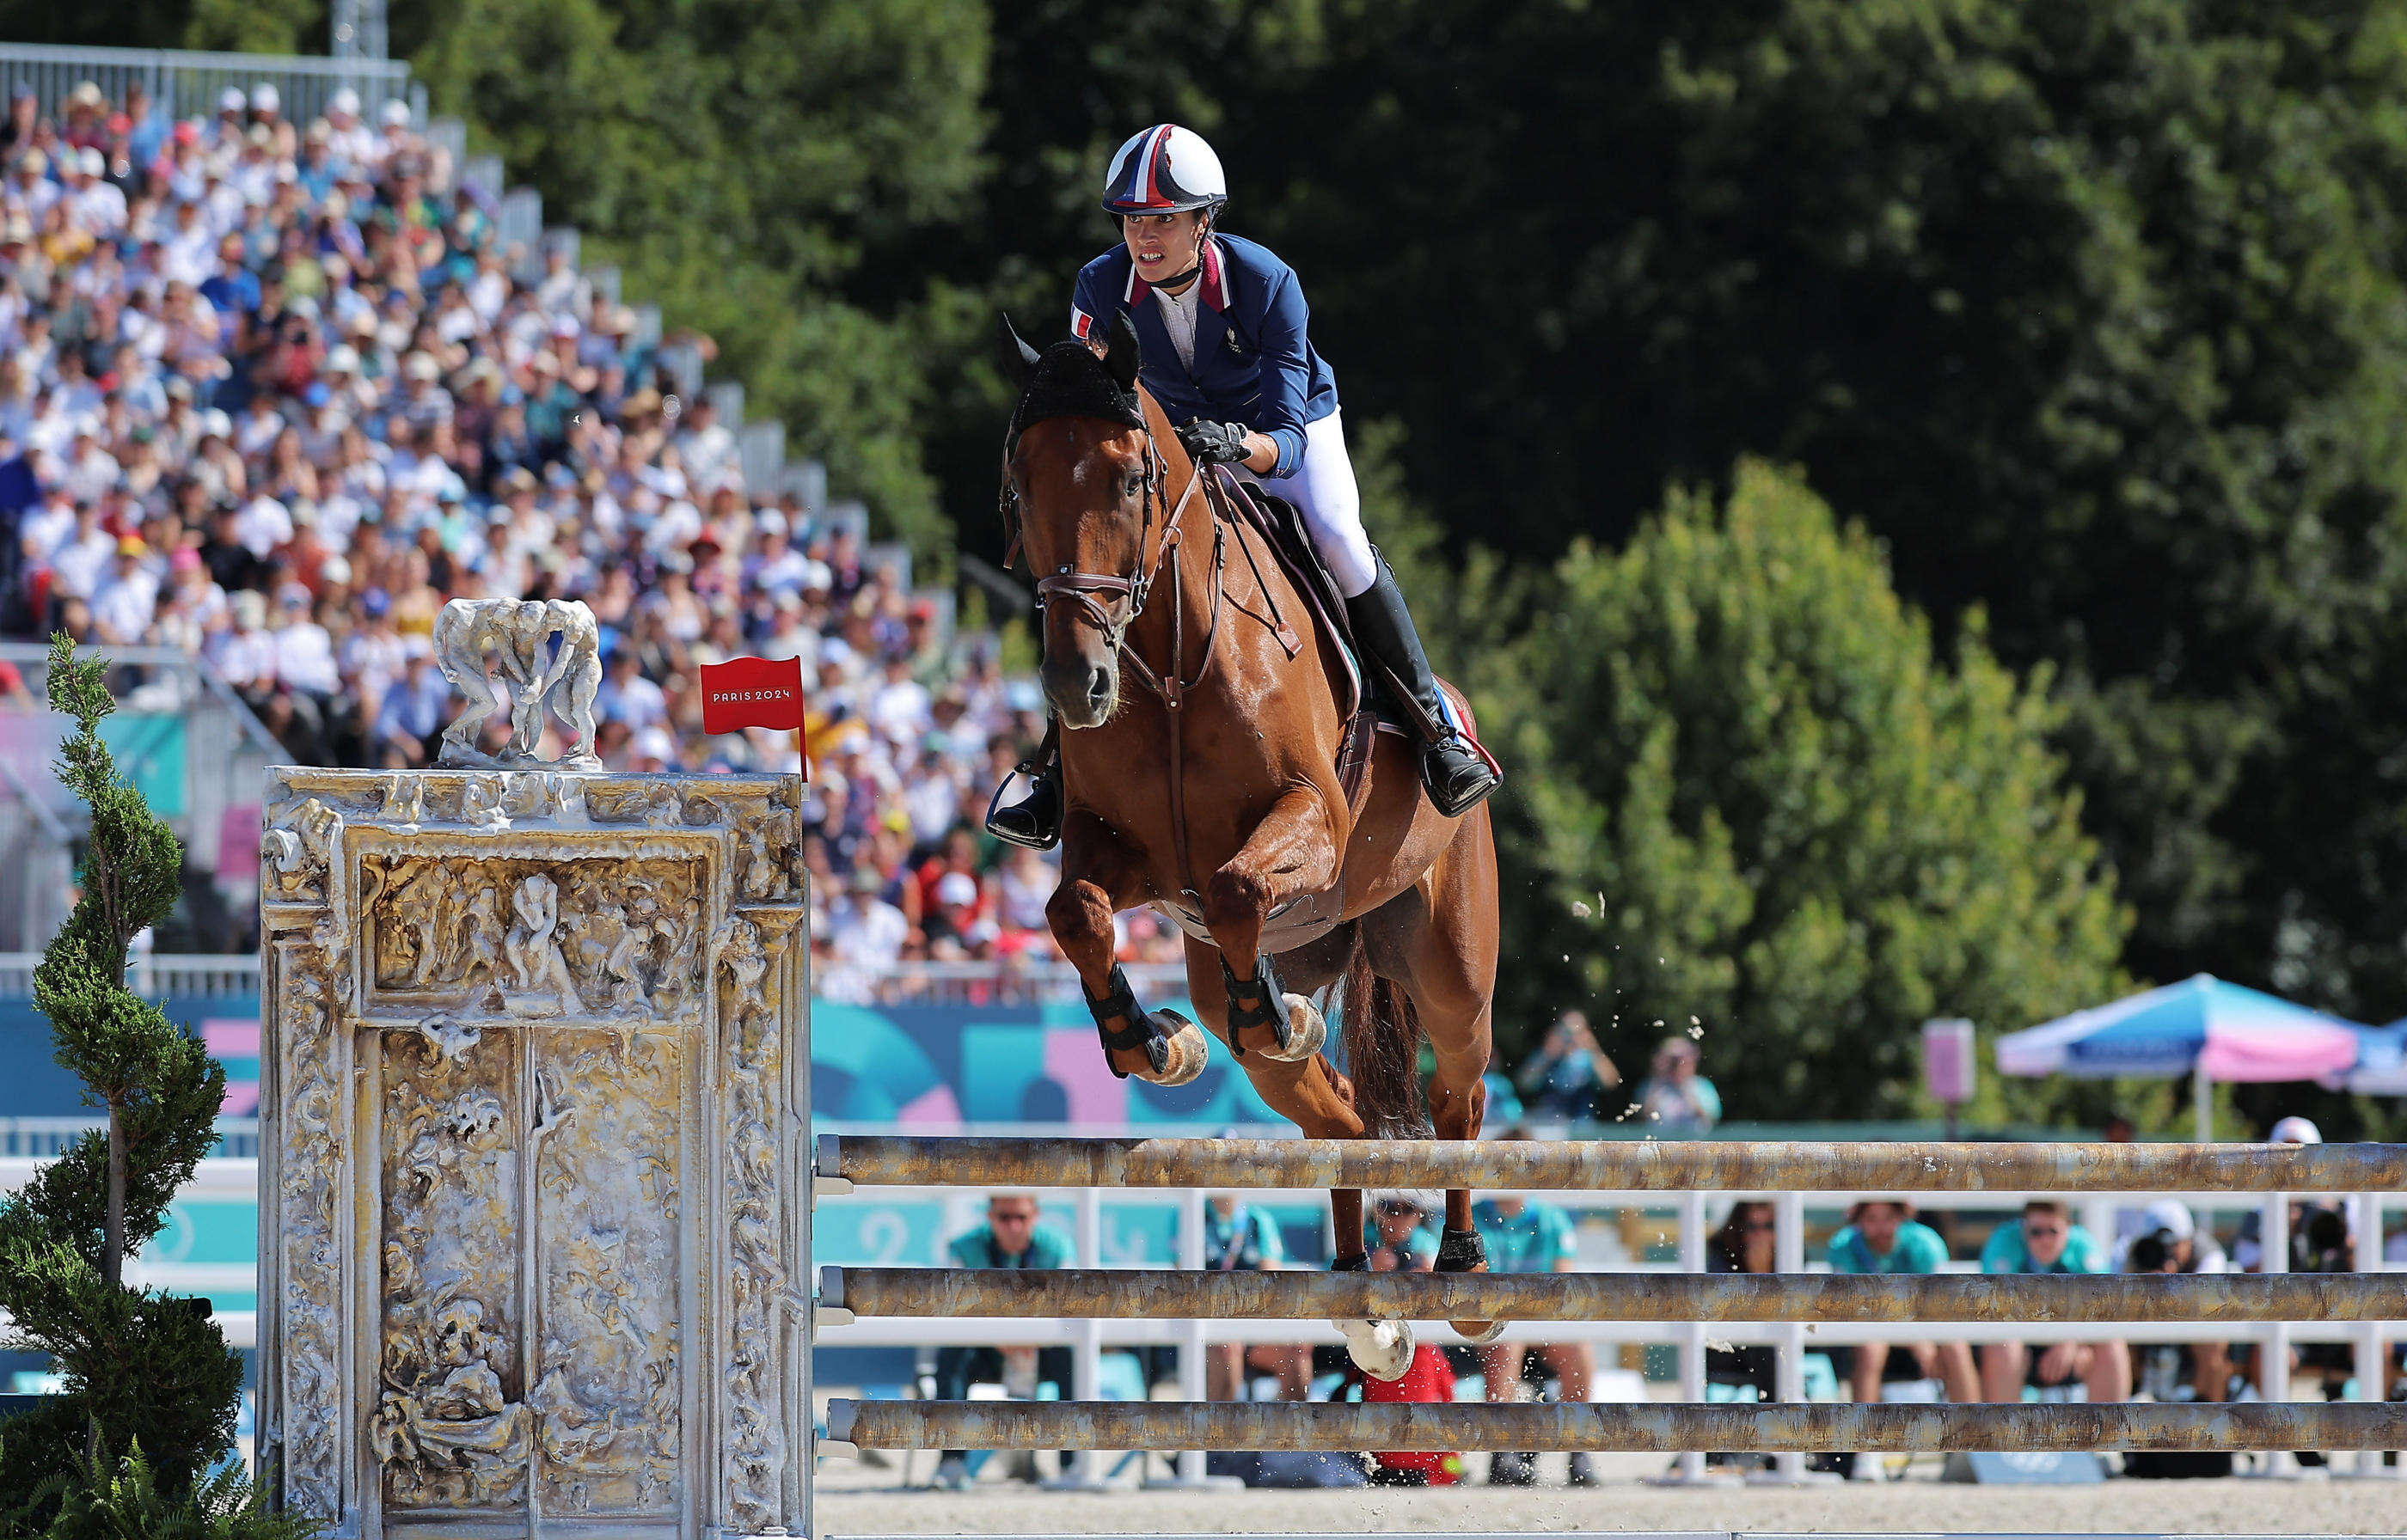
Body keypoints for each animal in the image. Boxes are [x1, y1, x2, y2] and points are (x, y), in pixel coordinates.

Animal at [996, 313, 1502, 1366]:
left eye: (1131, 479)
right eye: (1019, 480)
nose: (1075, 684)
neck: (1171, 660)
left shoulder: (1311, 818)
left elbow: (1234, 885)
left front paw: (1247, 1016)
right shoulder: (1124, 851)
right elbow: (1076, 911)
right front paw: (1149, 1041)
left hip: (1448, 966)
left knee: (1456, 1098)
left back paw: (1465, 1269)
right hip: (1288, 977)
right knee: (1333, 1111)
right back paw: (1360, 1296)